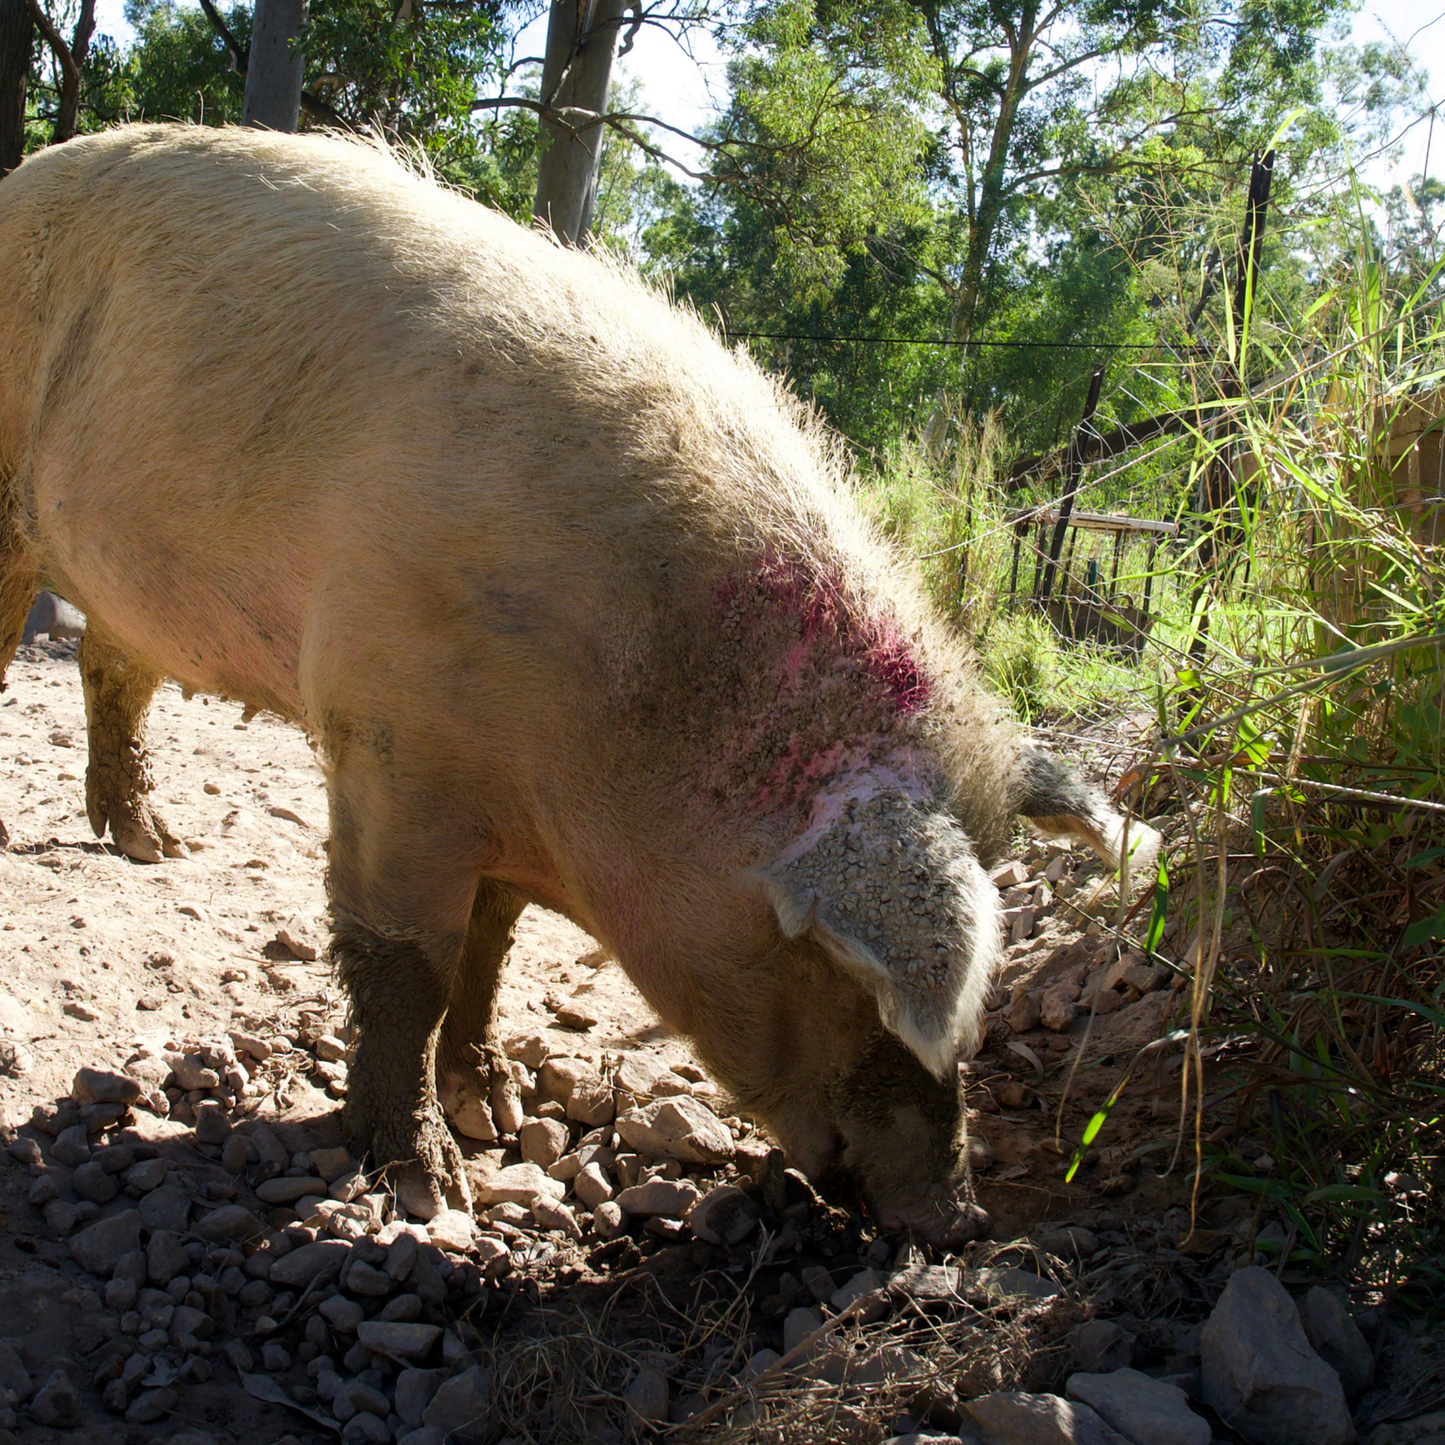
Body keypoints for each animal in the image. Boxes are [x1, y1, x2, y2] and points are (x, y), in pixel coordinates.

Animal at [0, 125, 1154, 1237]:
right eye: (838, 973)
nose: (956, 1219)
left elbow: (488, 950)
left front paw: (496, 1107)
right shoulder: (389, 745)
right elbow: (405, 964)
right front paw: (429, 1185)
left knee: (111, 666)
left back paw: (153, 846)